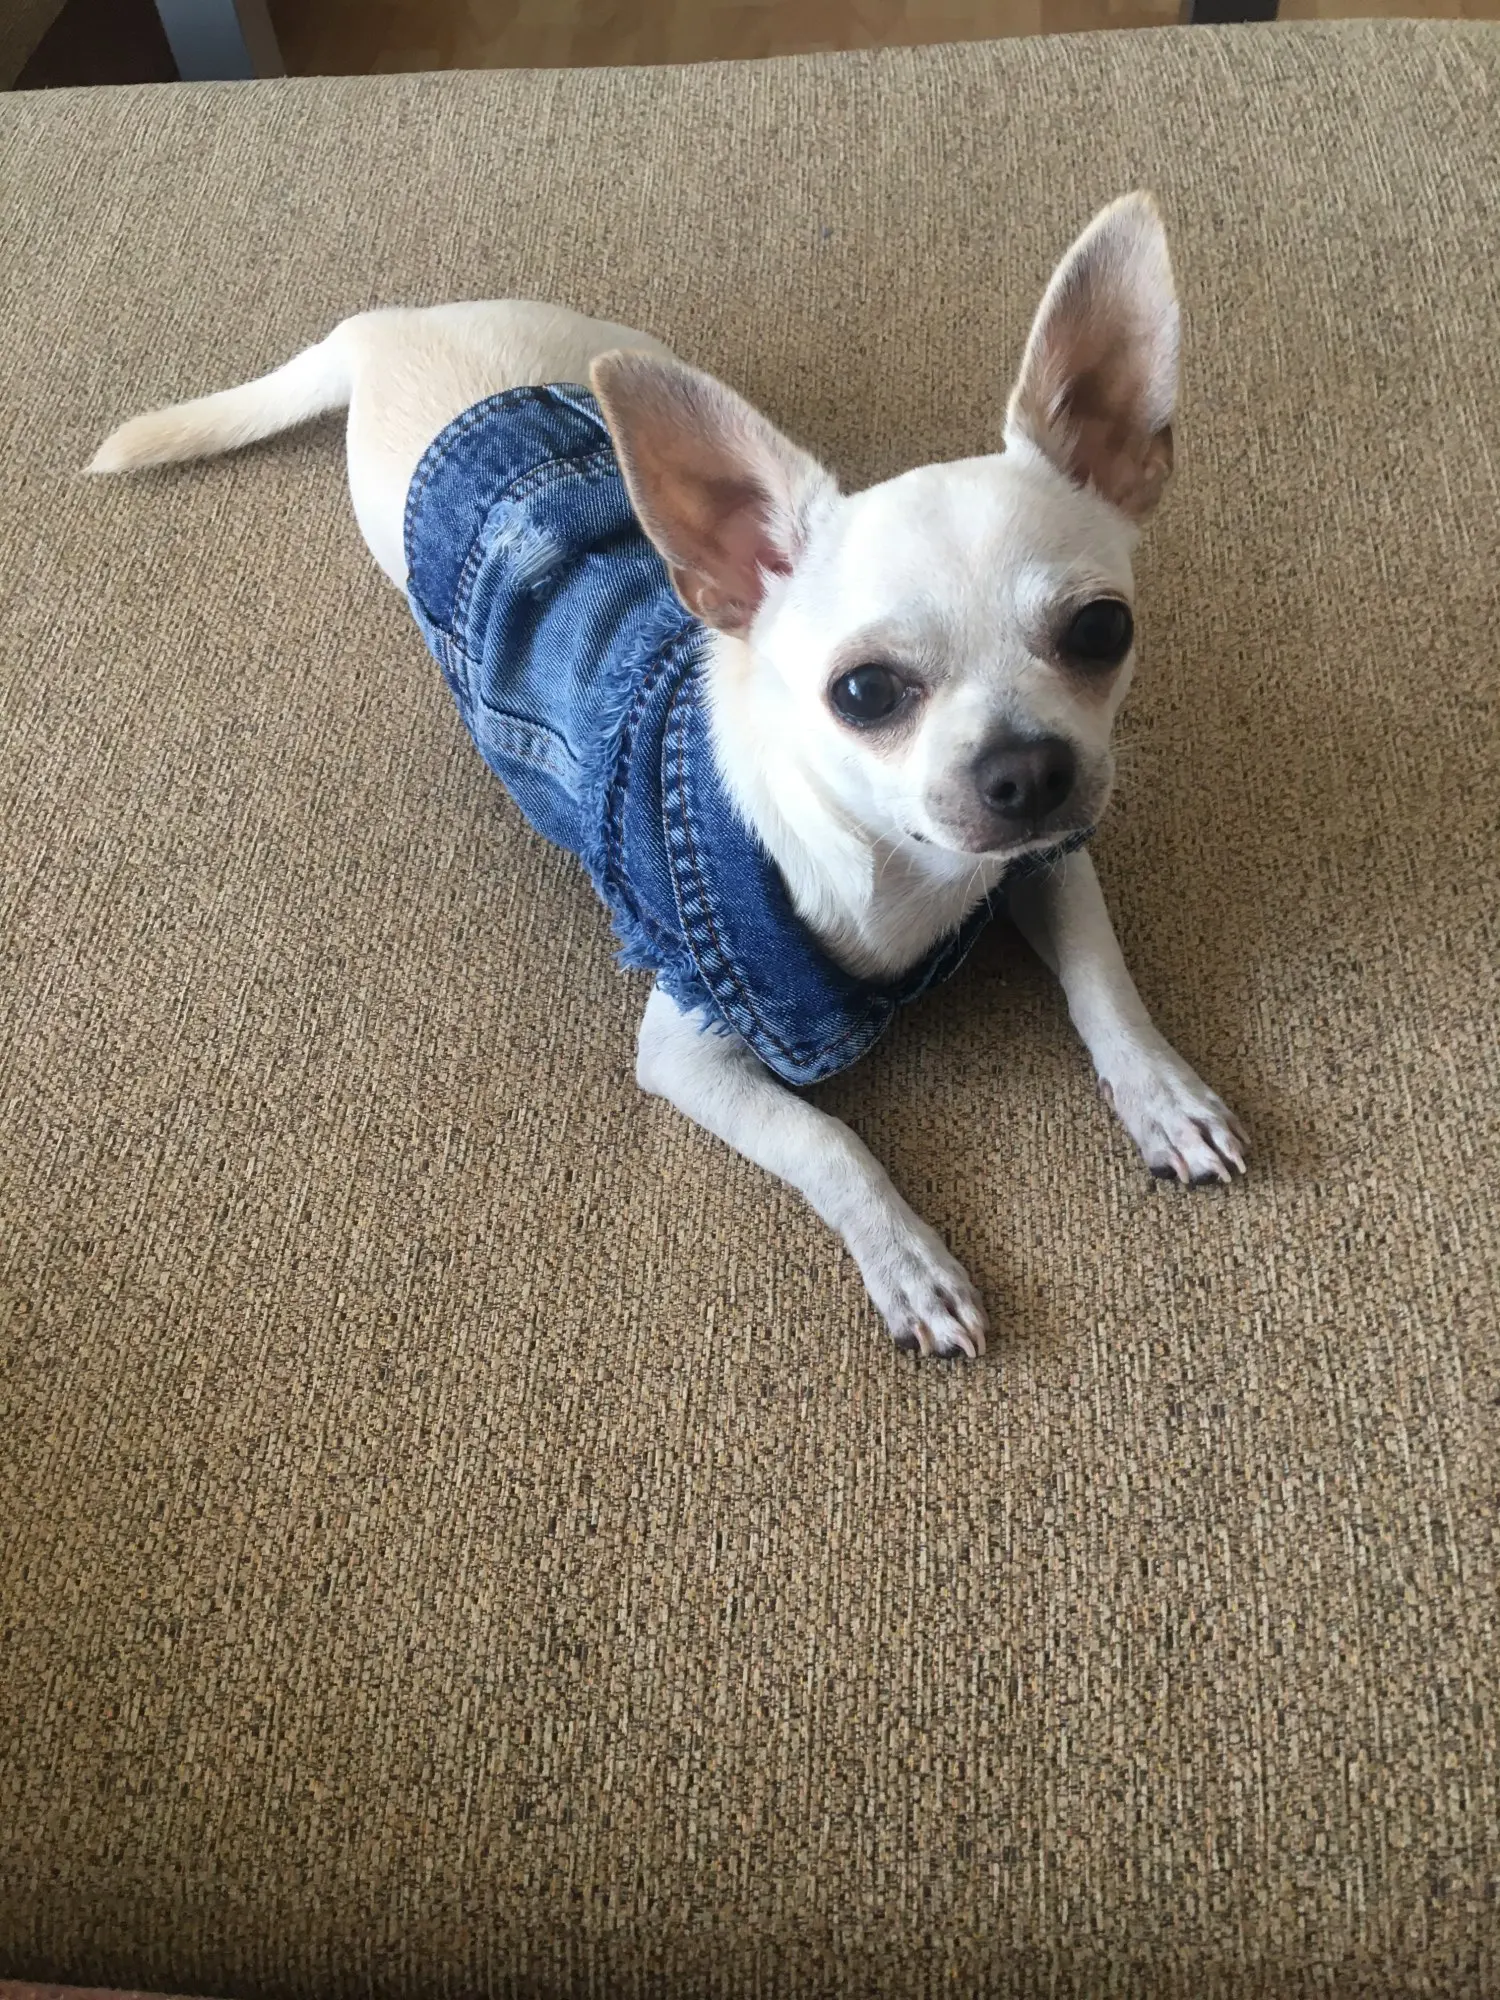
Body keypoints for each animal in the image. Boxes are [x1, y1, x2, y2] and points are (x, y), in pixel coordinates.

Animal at [90, 192, 1247, 1360]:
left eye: (1103, 630)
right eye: (865, 693)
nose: (1028, 767)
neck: (908, 876)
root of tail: (387, 323)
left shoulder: (1047, 858)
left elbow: (1103, 981)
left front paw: (1166, 1096)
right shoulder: (690, 1046)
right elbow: (827, 1140)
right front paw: (909, 1263)